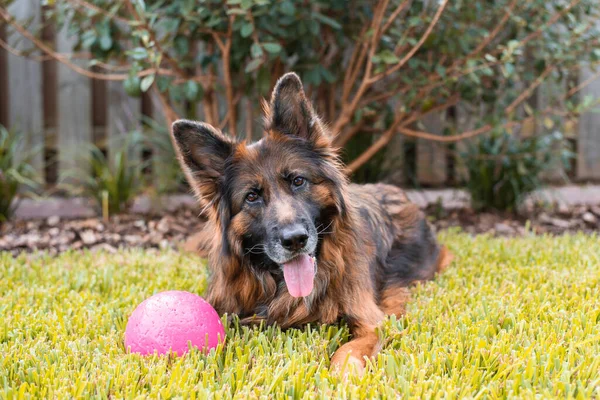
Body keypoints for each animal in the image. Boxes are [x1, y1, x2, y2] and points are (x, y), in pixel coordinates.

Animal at [169, 72, 450, 376]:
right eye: (252, 197)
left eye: (298, 181)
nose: (295, 240)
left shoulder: (370, 321)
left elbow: (350, 351)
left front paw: (343, 375)